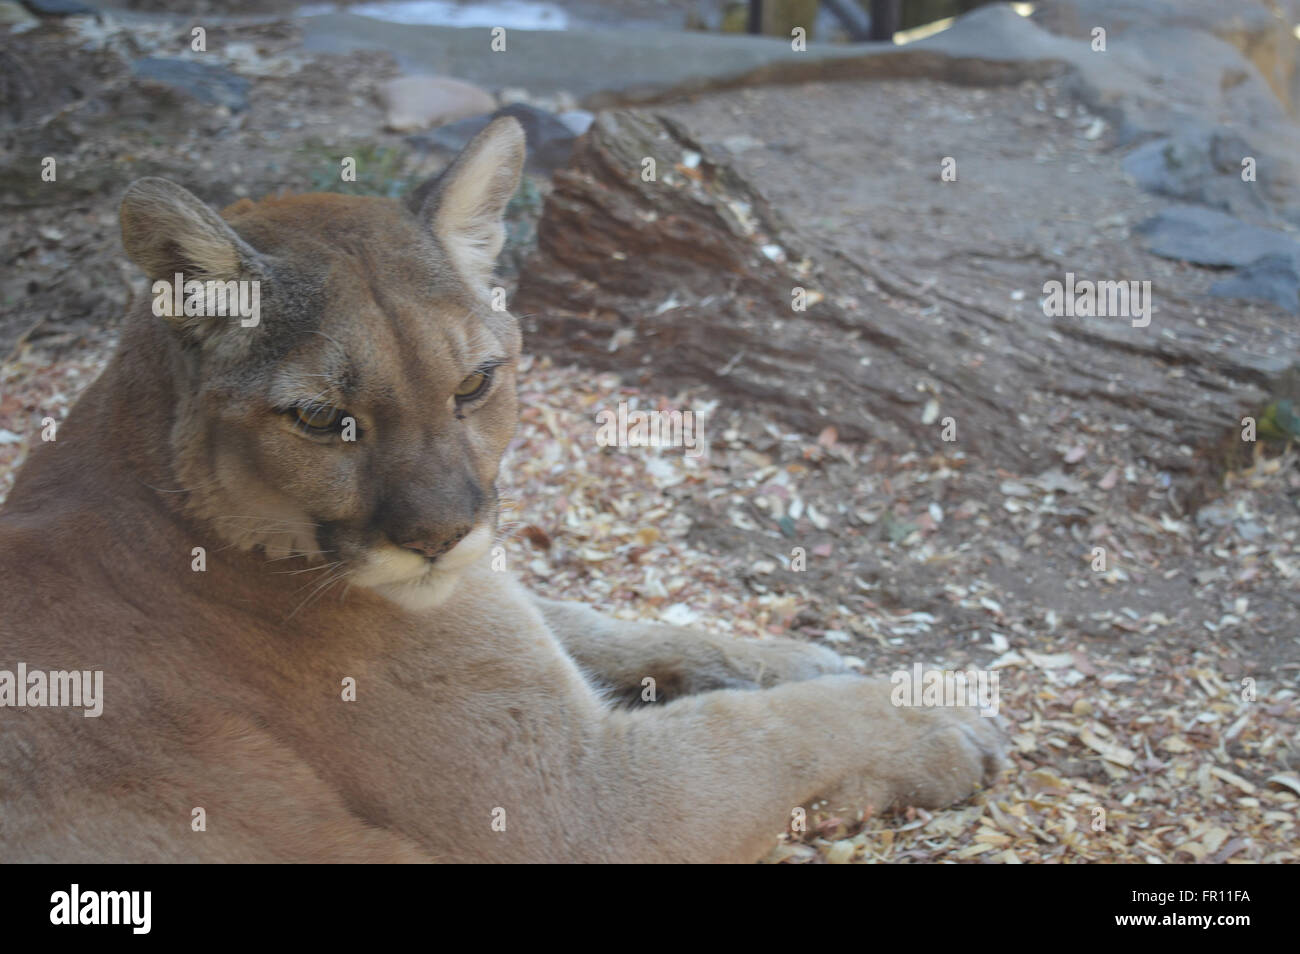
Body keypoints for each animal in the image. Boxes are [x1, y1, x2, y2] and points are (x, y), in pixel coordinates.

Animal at [0, 119, 1003, 868]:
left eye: (476, 383)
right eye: (324, 420)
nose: (442, 536)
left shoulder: (502, 613)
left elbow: (606, 622)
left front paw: (809, 656)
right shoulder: (583, 805)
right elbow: (764, 733)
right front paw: (938, 715)